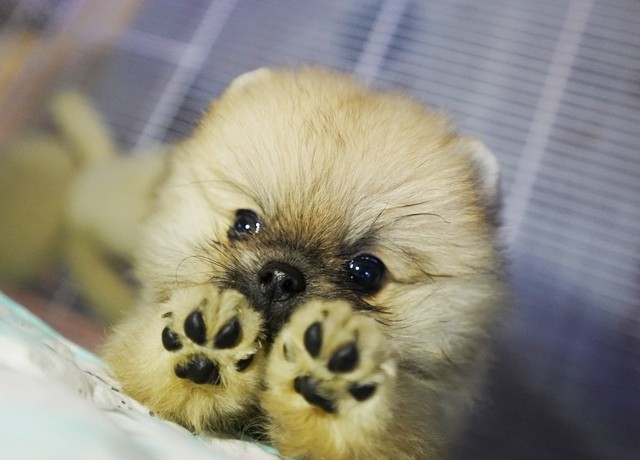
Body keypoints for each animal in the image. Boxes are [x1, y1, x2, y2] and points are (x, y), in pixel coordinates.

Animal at [102, 67, 506, 459]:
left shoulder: (419, 430)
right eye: (244, 224)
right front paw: (201, 340)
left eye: (366, 271)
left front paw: (332, 372)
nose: (281, 276)